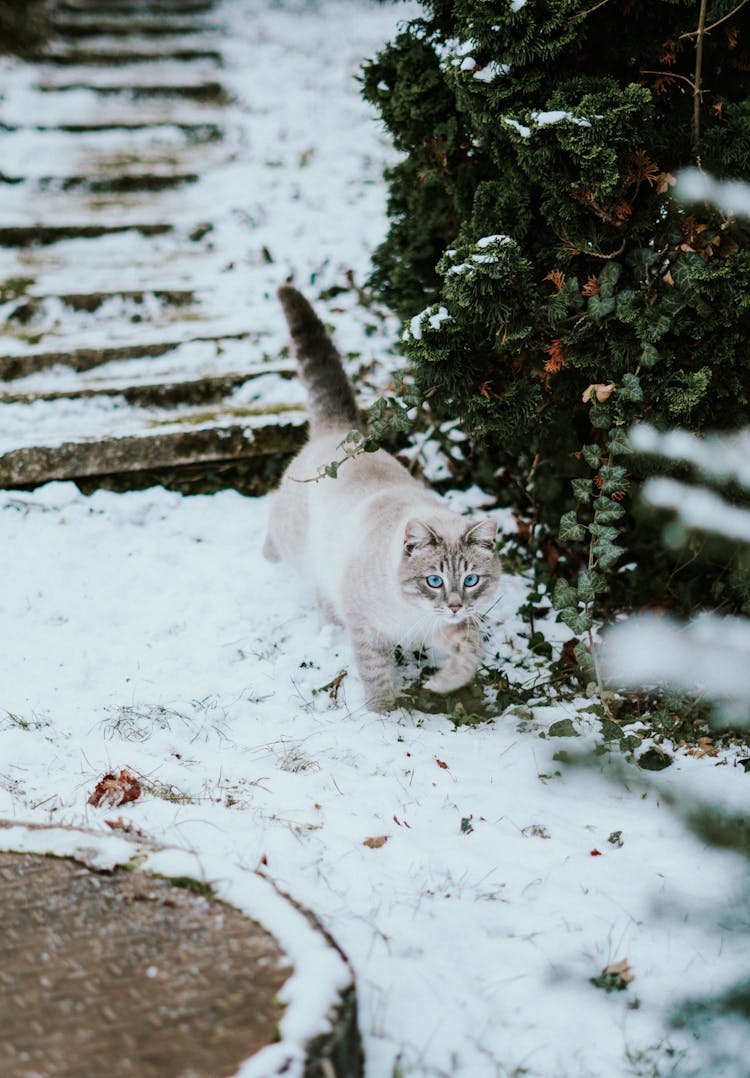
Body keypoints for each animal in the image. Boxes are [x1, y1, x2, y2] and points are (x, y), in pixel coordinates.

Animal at [264, 282, 504, 711]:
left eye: (471, 579)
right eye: (434, 581)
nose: (455, 604)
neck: (412, 614)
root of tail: (342, 430)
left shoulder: (446, 627)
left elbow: (471, 654)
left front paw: (440, 685)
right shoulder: (368, 629)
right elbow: (376, 675)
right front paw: (383, 715)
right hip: (297, 542)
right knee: (275, 529)